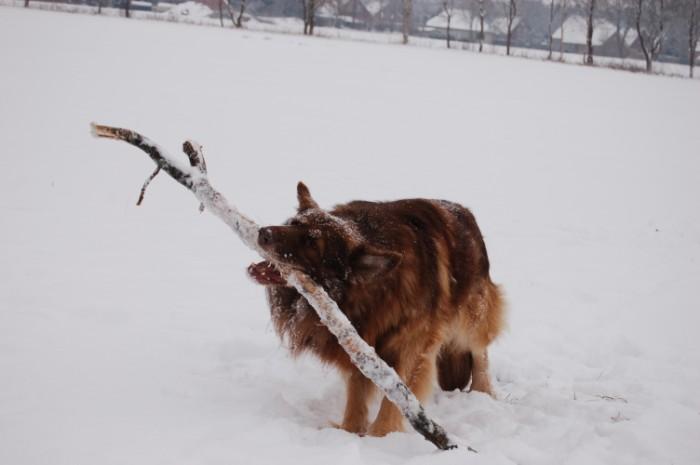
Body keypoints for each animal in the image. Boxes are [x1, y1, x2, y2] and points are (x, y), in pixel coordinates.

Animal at [248, 182, 505, 437]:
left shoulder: (412, 347)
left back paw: (483, 390)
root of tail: (464, 212)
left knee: (479, 350)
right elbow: (356, 393)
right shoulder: (360, 342)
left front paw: (381, 436)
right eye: (293, 223)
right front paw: (350, 430)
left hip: (472, 315)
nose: (264, 233)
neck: (370, 293)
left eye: (312, 242)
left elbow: (397, 399)